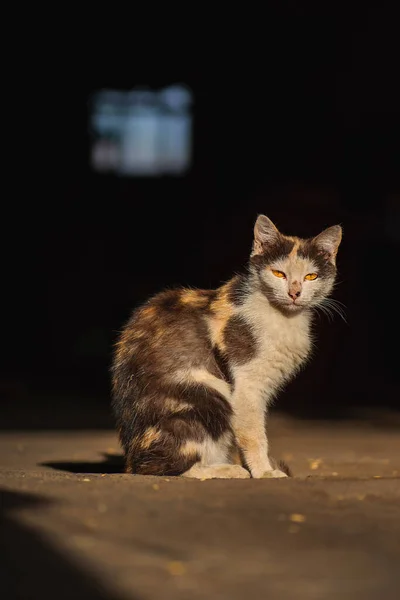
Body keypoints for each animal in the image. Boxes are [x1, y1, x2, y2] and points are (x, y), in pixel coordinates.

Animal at [111, 213, 342, 480]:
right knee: (158, 468)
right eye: (278, 273)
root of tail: (130, 458)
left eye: (311, 277)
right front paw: (264, 472)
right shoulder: (246, 383)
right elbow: (253, 433)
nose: (294, 292)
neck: (283, 317)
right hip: (208, 395)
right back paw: (226, 470)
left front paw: (255, 468)